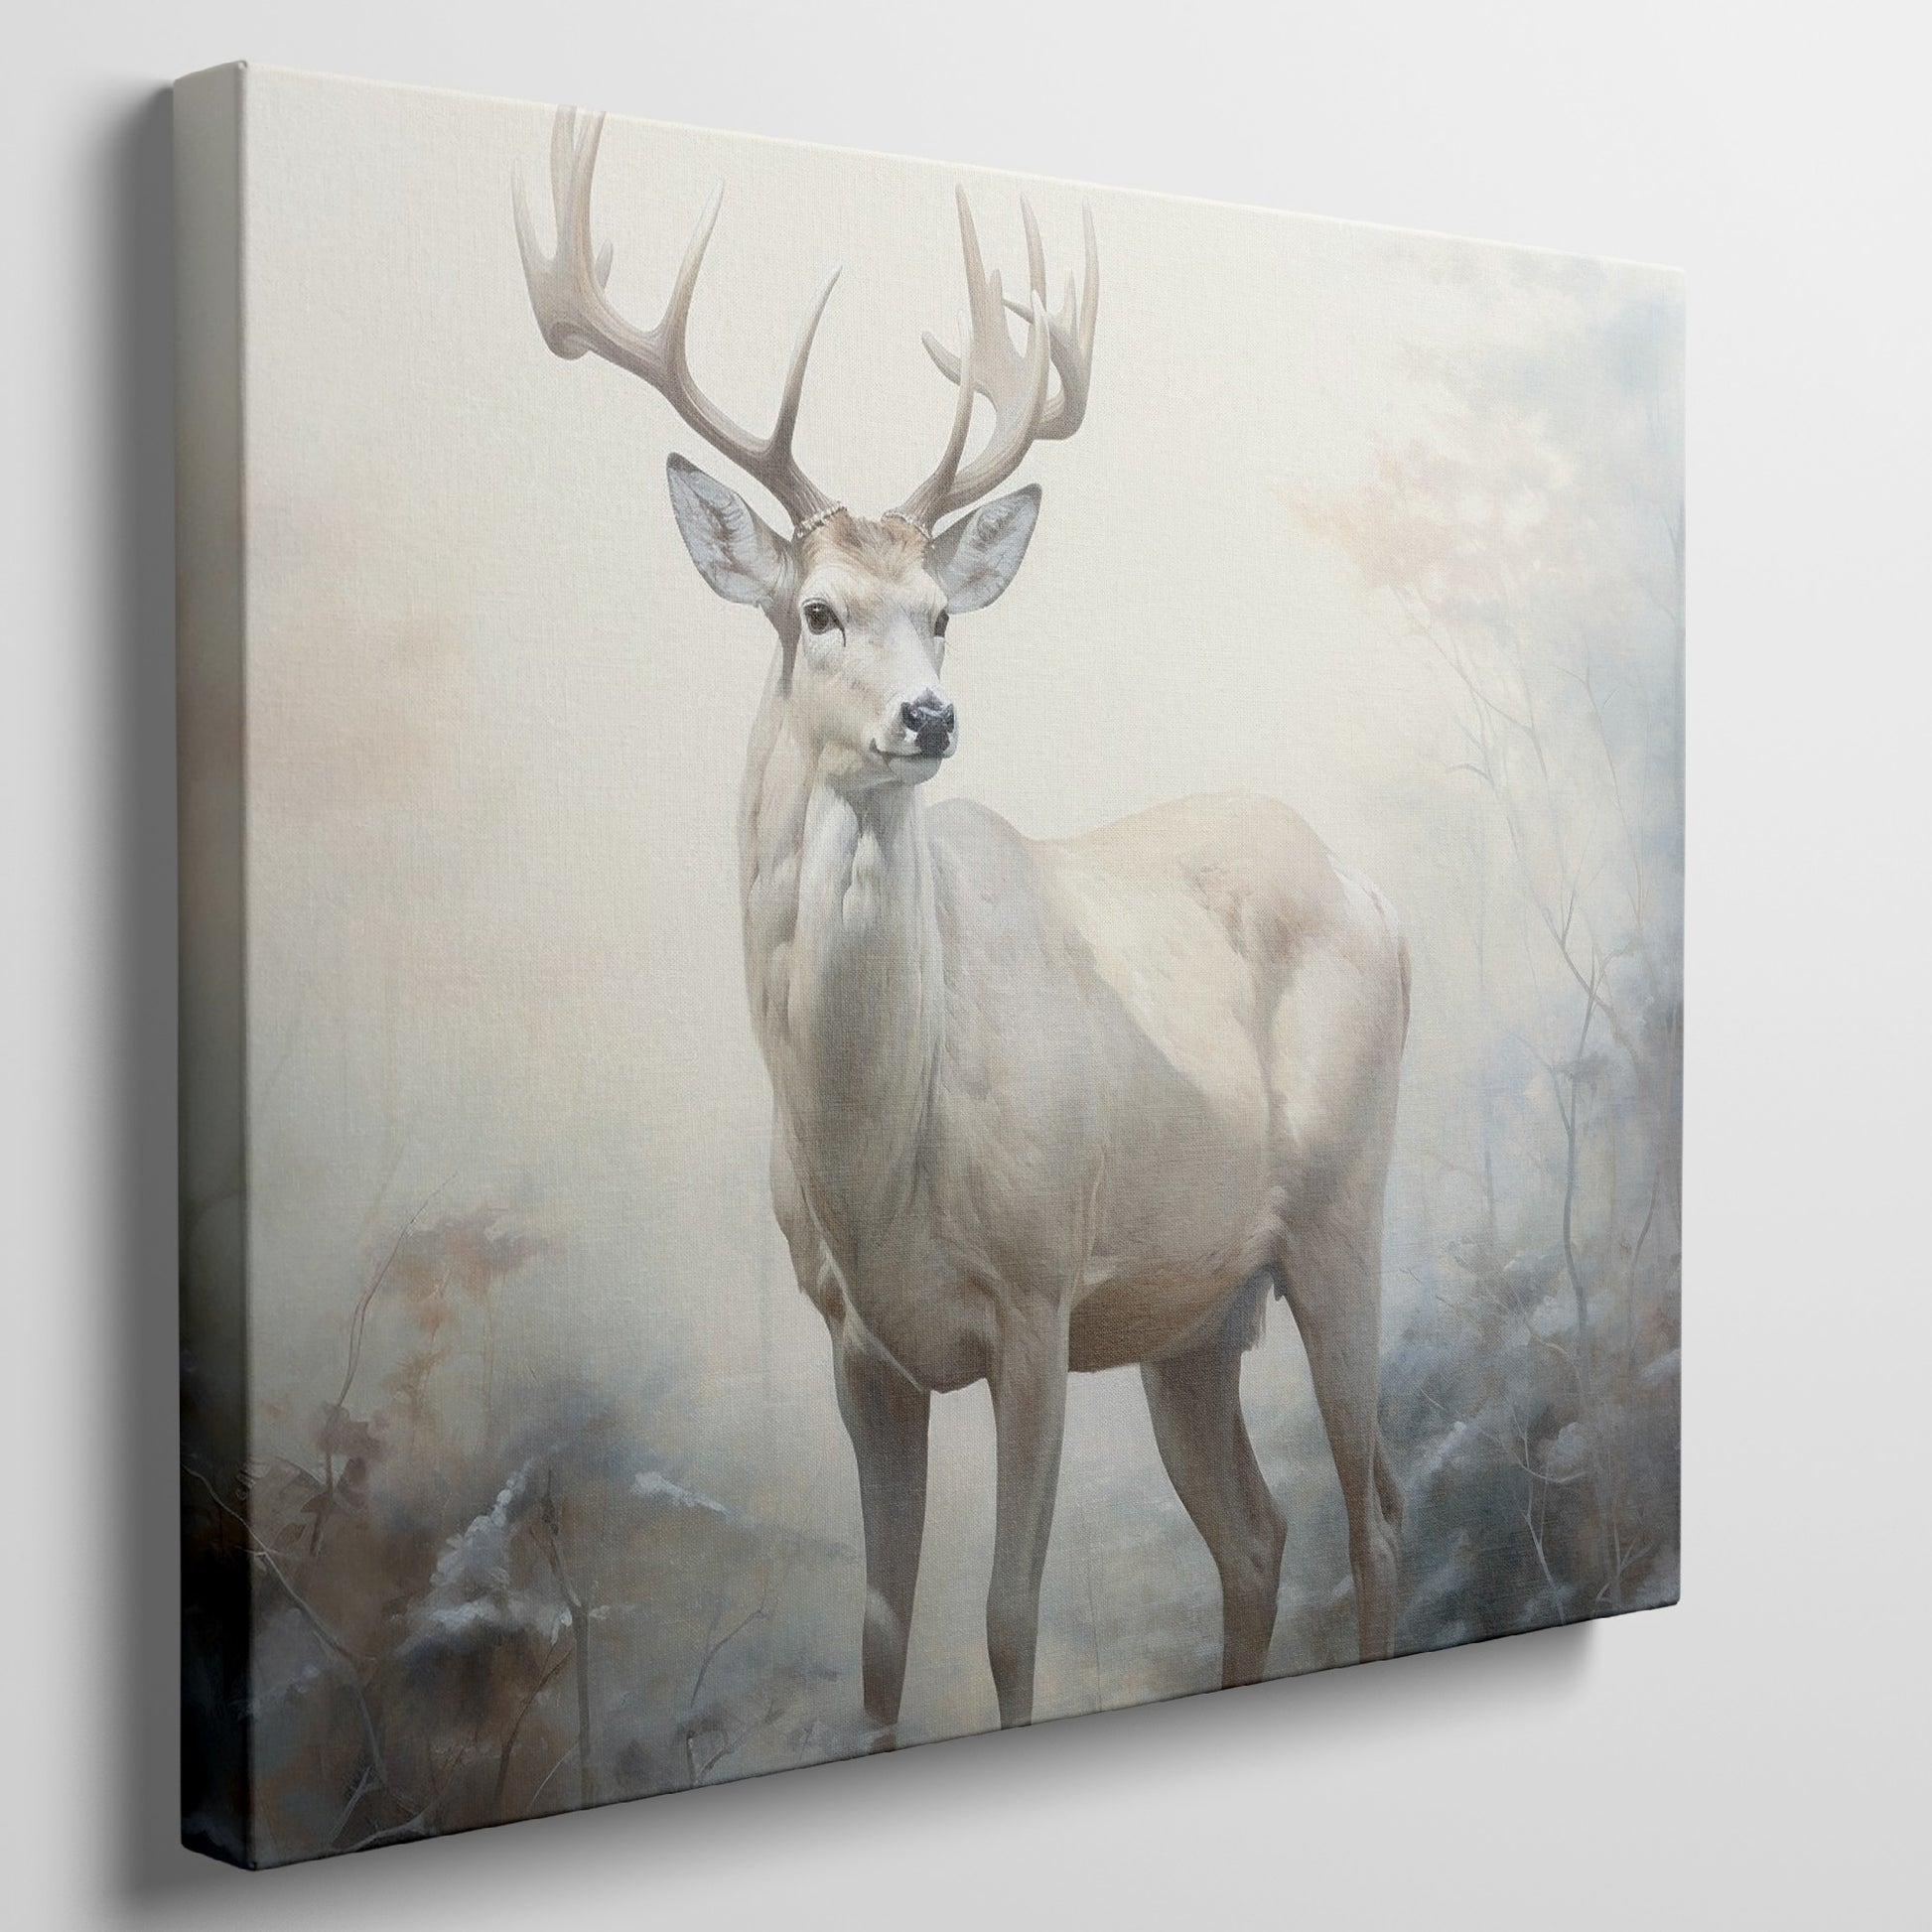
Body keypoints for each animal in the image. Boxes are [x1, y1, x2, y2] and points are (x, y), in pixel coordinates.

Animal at [515, 107, 1411, 1734]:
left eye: (941, 610)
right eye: (815, 609)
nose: (930, 716)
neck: (880, 1158)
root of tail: (1374, 892)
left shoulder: (1039, 1294)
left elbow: (1003, 1623)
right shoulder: (850, 1340)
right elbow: (878, 1639)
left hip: (1341, 1211)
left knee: (1369, 1509)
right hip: (1196, 1315)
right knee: (1257, 1535)